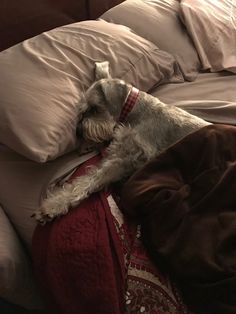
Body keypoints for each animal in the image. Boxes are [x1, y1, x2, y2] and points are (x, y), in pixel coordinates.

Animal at [33, 61, 210, 223]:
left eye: (94, 108)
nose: (78, 132)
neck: (134, 111)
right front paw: (87, 145)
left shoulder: (130, 156)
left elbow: (92, 178)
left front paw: (52, 206)